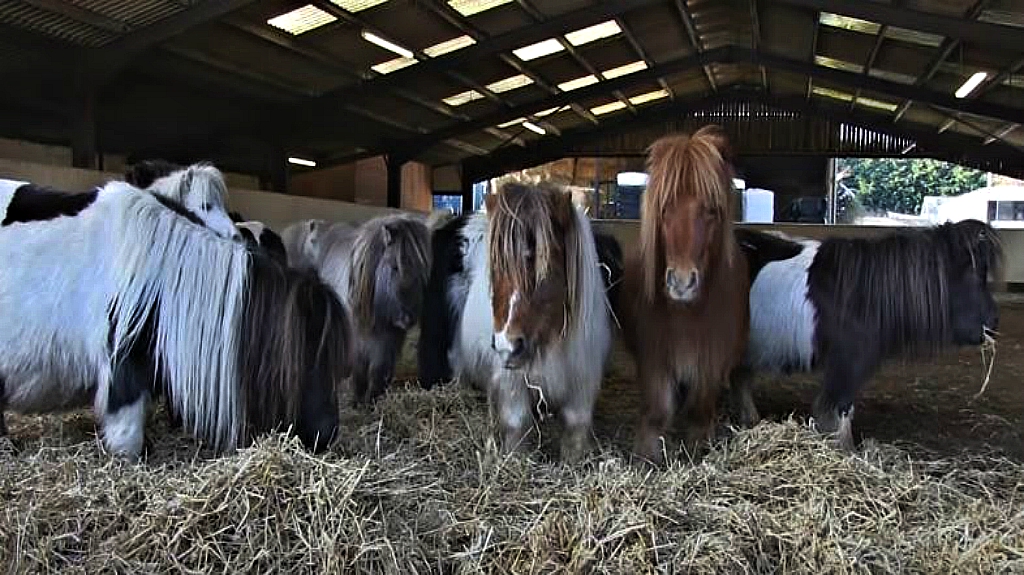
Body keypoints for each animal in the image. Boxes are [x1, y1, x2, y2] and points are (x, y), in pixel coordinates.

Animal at [283, 215, 432, 405]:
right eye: (394, 266)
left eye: (422, 271)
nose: (409, 318)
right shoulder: (358, 339)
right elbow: (359, 369)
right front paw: (357, 400)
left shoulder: (388, 341)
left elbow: (379, 371)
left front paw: (372, 400)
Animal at [420, 181, 612, 461]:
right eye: (496, 267)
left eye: (543, 264)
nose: (507, 346)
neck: (550, 337)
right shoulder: (512, 381)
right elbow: (517, 423)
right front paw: (514, 459)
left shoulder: (582, 380)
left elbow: (576, 427)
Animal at [618, 126, 750, 465]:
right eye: (665, 208)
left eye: (711, 210)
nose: (681, 282)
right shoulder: (654, 356)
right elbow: (657, 411)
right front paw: (647, 457)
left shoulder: (711, 358)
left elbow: (699, 411)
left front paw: (697, 450)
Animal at [731, 220, 1002, 450]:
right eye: (973, 273)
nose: (993, 323)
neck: (864, 293)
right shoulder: (847, 364)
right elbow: (838, 409)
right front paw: (846, 450)